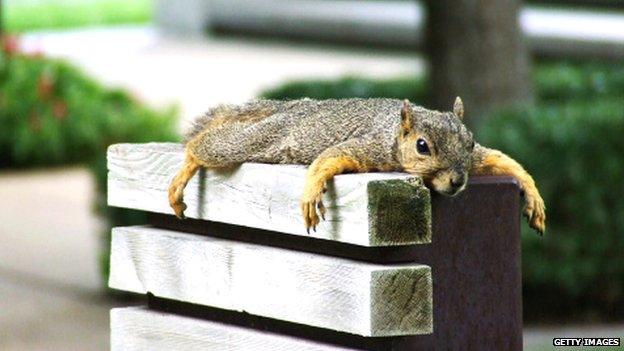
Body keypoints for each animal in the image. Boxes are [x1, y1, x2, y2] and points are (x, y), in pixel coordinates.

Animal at [168, 99, 544, 235]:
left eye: (469, 142)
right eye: (422, 146)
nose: (457, 180)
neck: (394, 134)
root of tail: (287, 109)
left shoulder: (478, 158)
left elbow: (502, 160)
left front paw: (534, 197)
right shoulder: (369, 147)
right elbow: (328, 158)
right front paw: (311, 192)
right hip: (255, 142)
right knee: (204, 146)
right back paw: (183, 172)